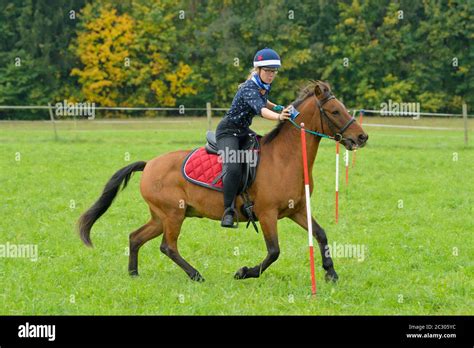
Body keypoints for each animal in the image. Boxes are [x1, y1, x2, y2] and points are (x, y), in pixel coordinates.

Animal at [78, 81, 368, 282]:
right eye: (335, 111)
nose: (362, 137)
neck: (285, 159)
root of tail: (149, 164)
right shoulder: (267, 214)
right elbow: (274, 251)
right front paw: (244, 272)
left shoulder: (297, 209)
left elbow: (320, 234)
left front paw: (331, 273)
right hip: (173, 214)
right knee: (168, 246)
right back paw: (196, 275)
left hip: (161, 216)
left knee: (136, 237)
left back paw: (134, 274)